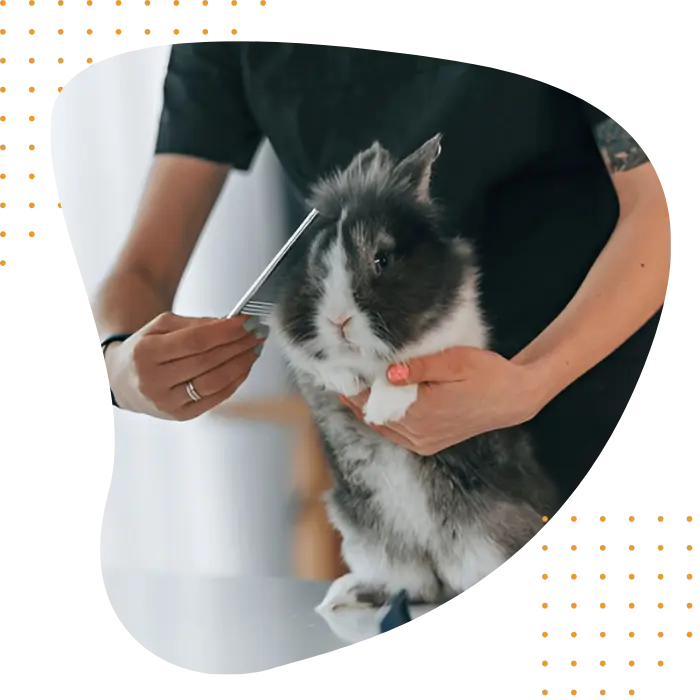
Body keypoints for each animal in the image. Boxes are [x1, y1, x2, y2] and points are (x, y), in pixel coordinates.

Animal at [267, 134, 561, 613]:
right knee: (413, 587)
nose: (338, 321)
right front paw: (346, 380)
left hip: (489, 539)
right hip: (373, 542)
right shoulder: (297, 343)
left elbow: (410, 364)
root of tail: (436, 562)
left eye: (383, 260)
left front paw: (383, 408)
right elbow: (323, 364)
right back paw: (344, 596)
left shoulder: (454, 331)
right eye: (315, 264)